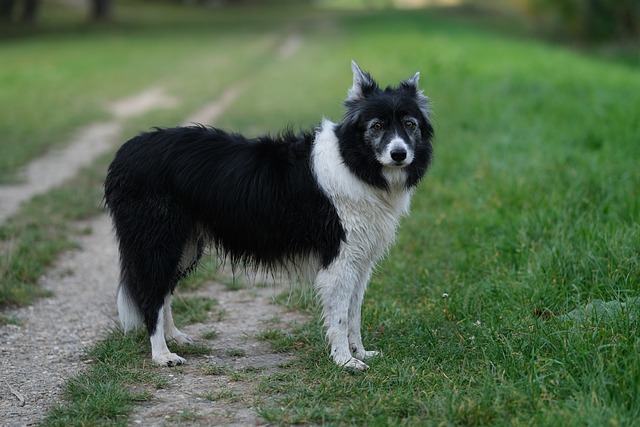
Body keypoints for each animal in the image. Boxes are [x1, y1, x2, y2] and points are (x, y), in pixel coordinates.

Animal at [104, 61, 436, 372]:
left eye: (410, 124)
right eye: (376, 126)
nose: (399, 154)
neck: (353, 161)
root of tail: (125, 152)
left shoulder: (360, 259)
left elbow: (354, 312)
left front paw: (361, 352)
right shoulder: (339, 259)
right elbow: (341, 316)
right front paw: (345, 361)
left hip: (184, 246)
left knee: (164, 292)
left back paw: (174, 338)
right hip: (160, 240)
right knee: (151, 296)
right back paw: (162, 355)